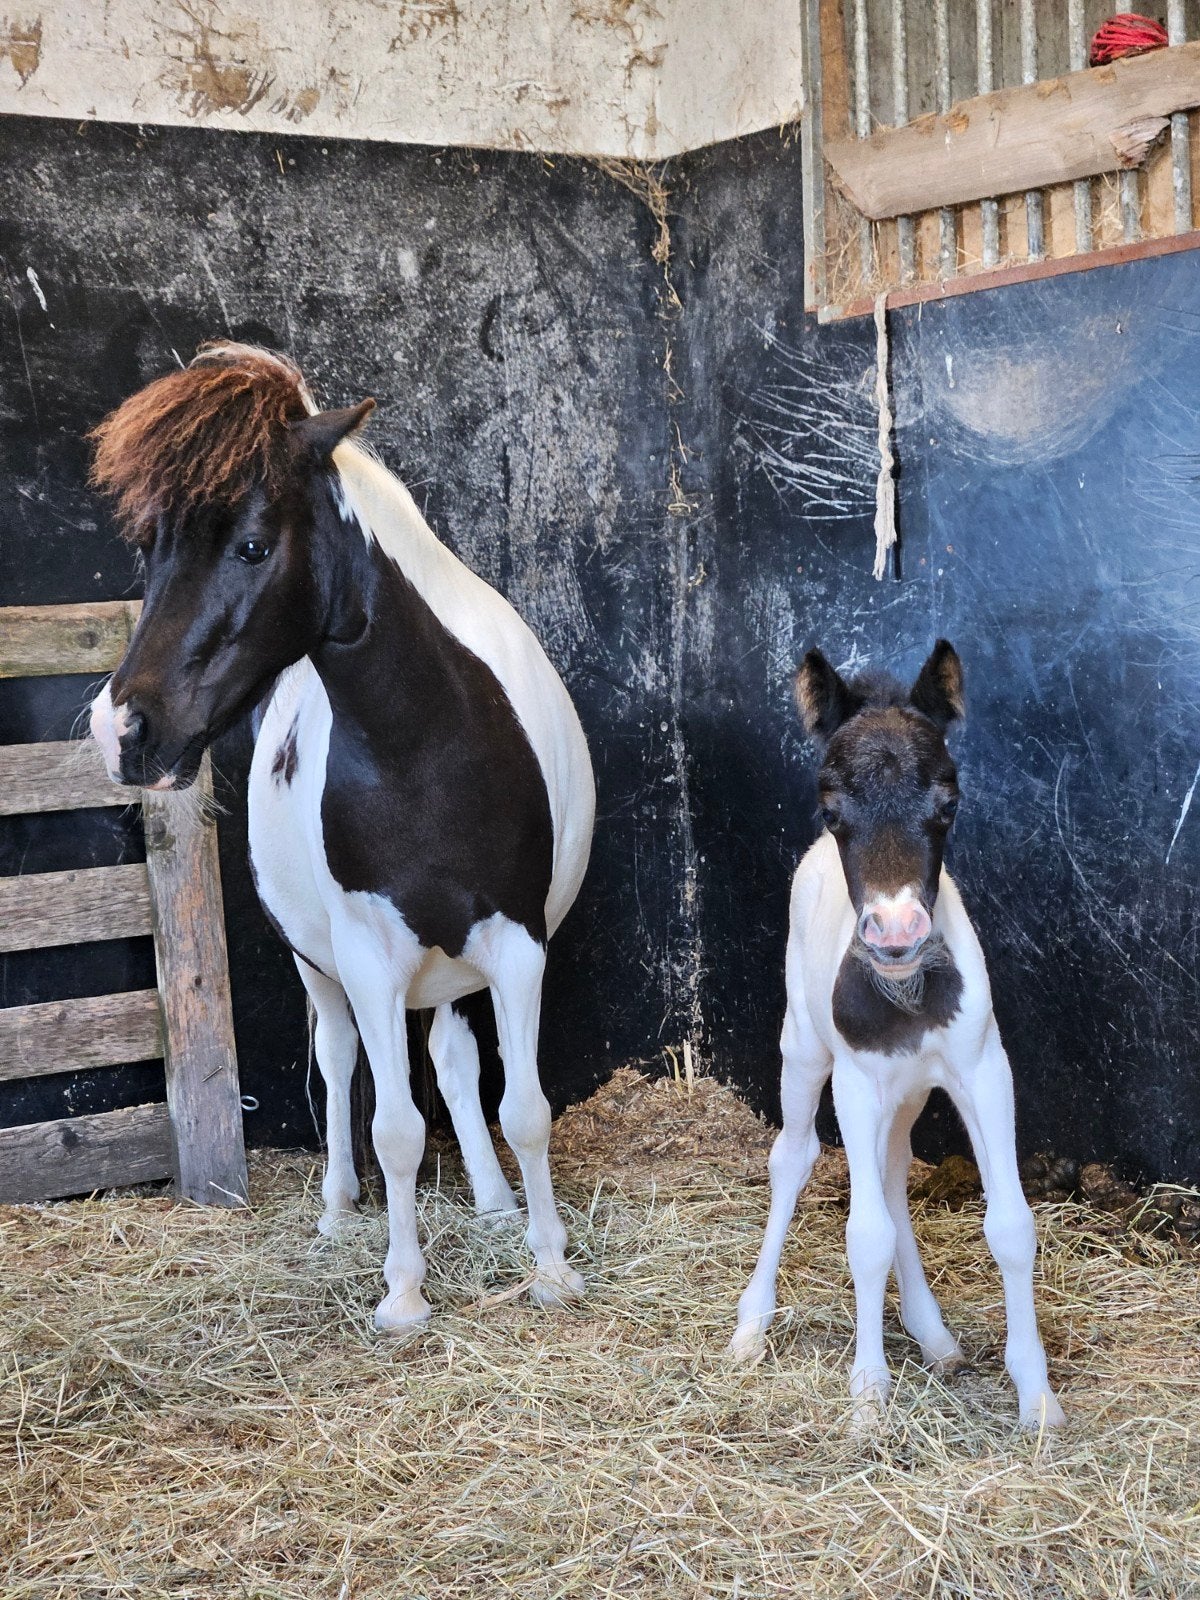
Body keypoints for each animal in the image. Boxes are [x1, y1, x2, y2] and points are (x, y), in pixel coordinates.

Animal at [87, 343, 595, 1330]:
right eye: (150, 546)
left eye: (250, 544)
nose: (121, 730)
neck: (432, 743)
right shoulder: (366, 957)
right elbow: (393, 1128)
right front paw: (402, 1291)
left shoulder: (518, 945)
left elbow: (524, 1109)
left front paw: (548, 1263)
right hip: (320, 968)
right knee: (338, 1057)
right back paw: (336, 1210)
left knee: (450, 1058)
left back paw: (492, 1200)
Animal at [729, 642, 1065, 1431]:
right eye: (830, 807)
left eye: (948, 803)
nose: (895, 934)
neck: (908, 996)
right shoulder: (856, 1083)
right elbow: (865, 1234)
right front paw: (868, 1393)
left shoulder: (983, 1069)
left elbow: (1010, 1225)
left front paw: (1036, 1397)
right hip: (803, 1053)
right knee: (793, 1158)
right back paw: (752, 1323)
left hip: (907, 1093)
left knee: (890, 1166)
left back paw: (931, 1332)